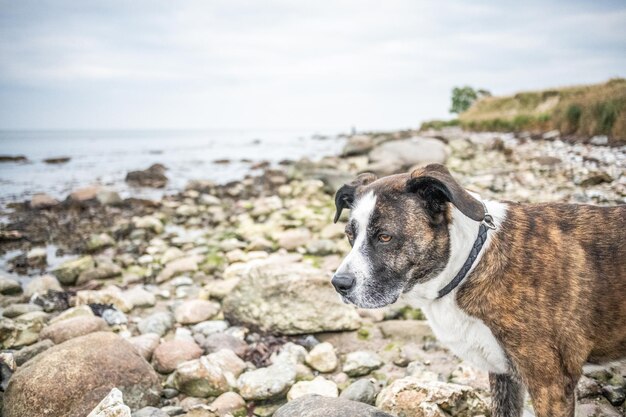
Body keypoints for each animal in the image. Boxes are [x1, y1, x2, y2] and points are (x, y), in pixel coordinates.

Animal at [330, 163, 620, 416]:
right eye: (349, 235)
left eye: (385, 237)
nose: (339, 284)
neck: (469, 264)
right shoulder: (505, 374)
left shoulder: (551, 385)